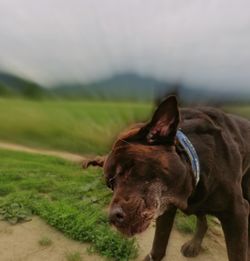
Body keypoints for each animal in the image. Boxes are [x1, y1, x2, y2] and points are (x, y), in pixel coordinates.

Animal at [84, 96, 250, 260]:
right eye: (110, 184)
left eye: (129, 168)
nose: (112, 218)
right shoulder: (166, 210)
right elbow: (158, 246)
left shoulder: (237, 214)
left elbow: (237, 252)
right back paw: (193, 245)